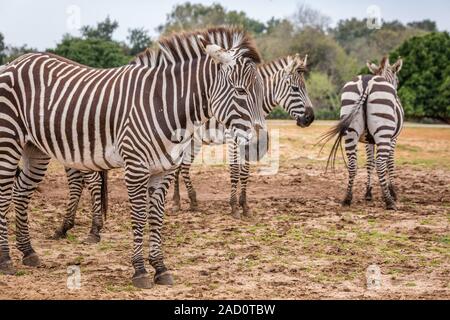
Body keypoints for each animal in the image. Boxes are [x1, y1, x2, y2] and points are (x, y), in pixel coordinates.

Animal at [0, 26, 266, 288]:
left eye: (261, 91)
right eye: (240, 91)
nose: (260, 144)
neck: (164, 105)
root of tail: (16, 61)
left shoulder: (163, 170)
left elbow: (156, 218)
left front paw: (160, 268)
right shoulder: (136, 167)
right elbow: (139, 216)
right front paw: (140, 271)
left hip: (35, 149)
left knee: (20, 192)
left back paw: (28, 252)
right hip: (8, 142)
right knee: (5, 194)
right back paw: (6, 260)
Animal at [320, 55, 404, 210]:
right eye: (398, 80)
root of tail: (367, 83)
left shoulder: (367, 139)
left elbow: (370, 163)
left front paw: (368, 193)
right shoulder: (393, 138)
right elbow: (389, 163)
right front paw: (392, 192)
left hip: (351, 130)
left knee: (353, 164)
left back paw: (347, 198)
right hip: (383, 132)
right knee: (381, 164)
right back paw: (389, 201)